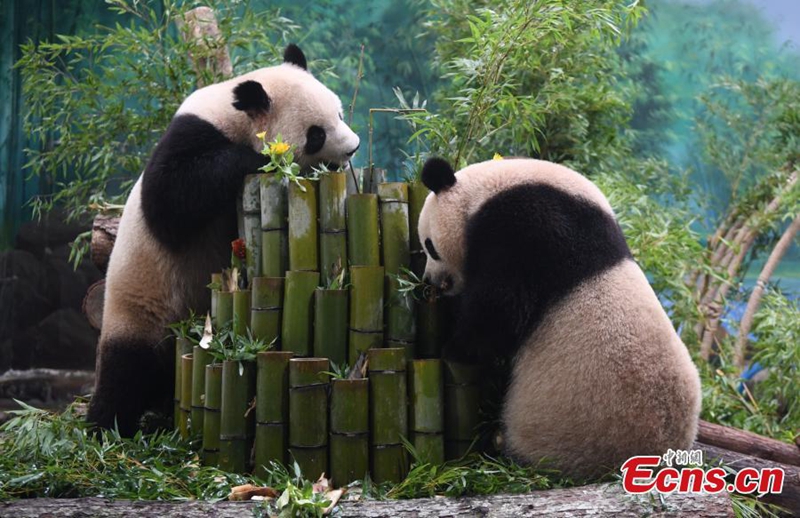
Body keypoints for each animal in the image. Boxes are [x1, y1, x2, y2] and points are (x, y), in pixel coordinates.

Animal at [87, 44, 360, 436]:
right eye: (316, 134)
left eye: (339, 113)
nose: (353, 148)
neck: (234, 118)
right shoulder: (190, 136)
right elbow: (171, 199)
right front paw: (260, 160)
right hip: (140, 311)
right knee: (125, 373)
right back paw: (105, 426)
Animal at [418, 156, 700, 482]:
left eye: (430, 246)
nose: (430, 280)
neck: (488, 190)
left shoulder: (527, 229)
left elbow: (501, 311)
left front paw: (453, 346)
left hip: (560, 436)